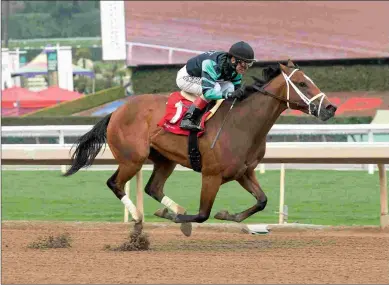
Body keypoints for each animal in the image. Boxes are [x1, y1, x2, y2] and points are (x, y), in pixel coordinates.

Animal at [64, 59, 336, 235]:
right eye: (302, 83)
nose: (330, 108)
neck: (242, 123)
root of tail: (116, 111)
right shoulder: (211, 175)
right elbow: (203, 214)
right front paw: (177, 218)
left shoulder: (243, 172)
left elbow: (262, 200)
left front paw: (227, 215)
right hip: (133, 158)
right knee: (115, 183)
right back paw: (139, 218)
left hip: (165, 159)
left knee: (153, 187)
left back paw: (170, 210)